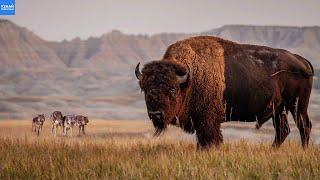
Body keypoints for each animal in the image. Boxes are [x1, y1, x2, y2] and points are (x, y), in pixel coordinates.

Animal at [134, 35, 312, 149]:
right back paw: (271, 151)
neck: (189, 78)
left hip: (297, 105)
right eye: (145, 89)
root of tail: (301, 60)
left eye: (171, 89)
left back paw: (303, 151)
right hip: (279, 109)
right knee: (283, 130)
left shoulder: (208, 121)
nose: (156, 114)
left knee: (304, 126)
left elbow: (210, 140)